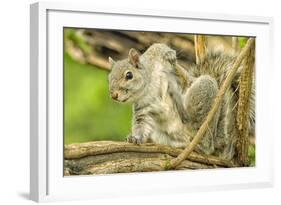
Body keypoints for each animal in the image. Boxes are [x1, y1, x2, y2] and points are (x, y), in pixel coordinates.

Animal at [107, 43, 254, 160]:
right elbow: (141, 124)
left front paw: (170, 55)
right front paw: (135, 138)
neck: (148, 88)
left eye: (129, 75)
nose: (114, 95)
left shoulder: (157, 59)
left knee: (205, 139)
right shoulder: (143, 108)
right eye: (109, 78)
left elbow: (159, 48)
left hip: (205, 96)